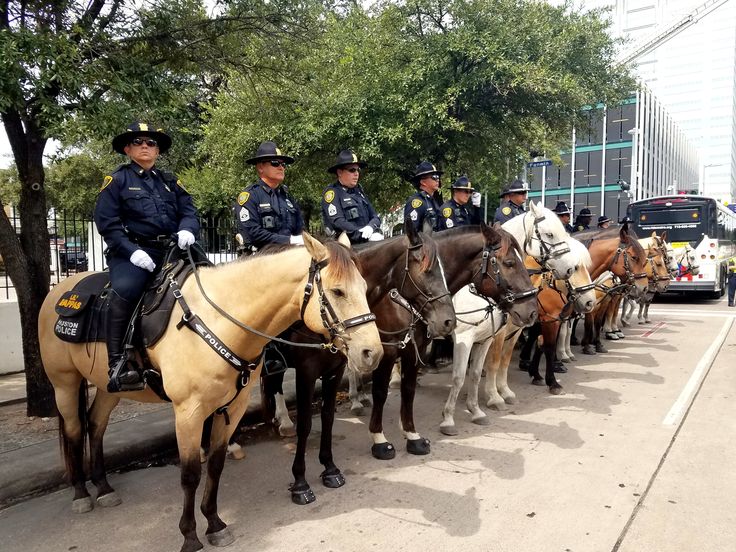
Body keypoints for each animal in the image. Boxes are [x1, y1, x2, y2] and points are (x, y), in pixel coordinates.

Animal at [38, 233, 386, 552]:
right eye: (338, 291)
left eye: (364, 287)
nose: (372, 352)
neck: (220, 321)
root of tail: (59, 289)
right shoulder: (188, 413)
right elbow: (191, 473)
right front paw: (190, 535)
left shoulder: (233, 407)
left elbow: (216, 465)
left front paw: (215, 523)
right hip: (64, 384)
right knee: (74, 430)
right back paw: (82, 493)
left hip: (107, 386)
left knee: (96, 425)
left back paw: (103, 486)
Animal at [258, 222, 458, 506]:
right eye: (426, 269)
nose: (448, 321)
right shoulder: (308, 372)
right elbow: (307, 424)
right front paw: (300, 481)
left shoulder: (337, 369)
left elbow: (329, 417)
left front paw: (330, 468)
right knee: (271, 383)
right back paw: (281, 422)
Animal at [370, 224, 536, 462]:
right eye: (509, 263)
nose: (531, 311)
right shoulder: (459, 340)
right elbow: (457, 378)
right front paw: (448, 420)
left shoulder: (482, 340)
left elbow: (473, 375)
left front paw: (476, 411)